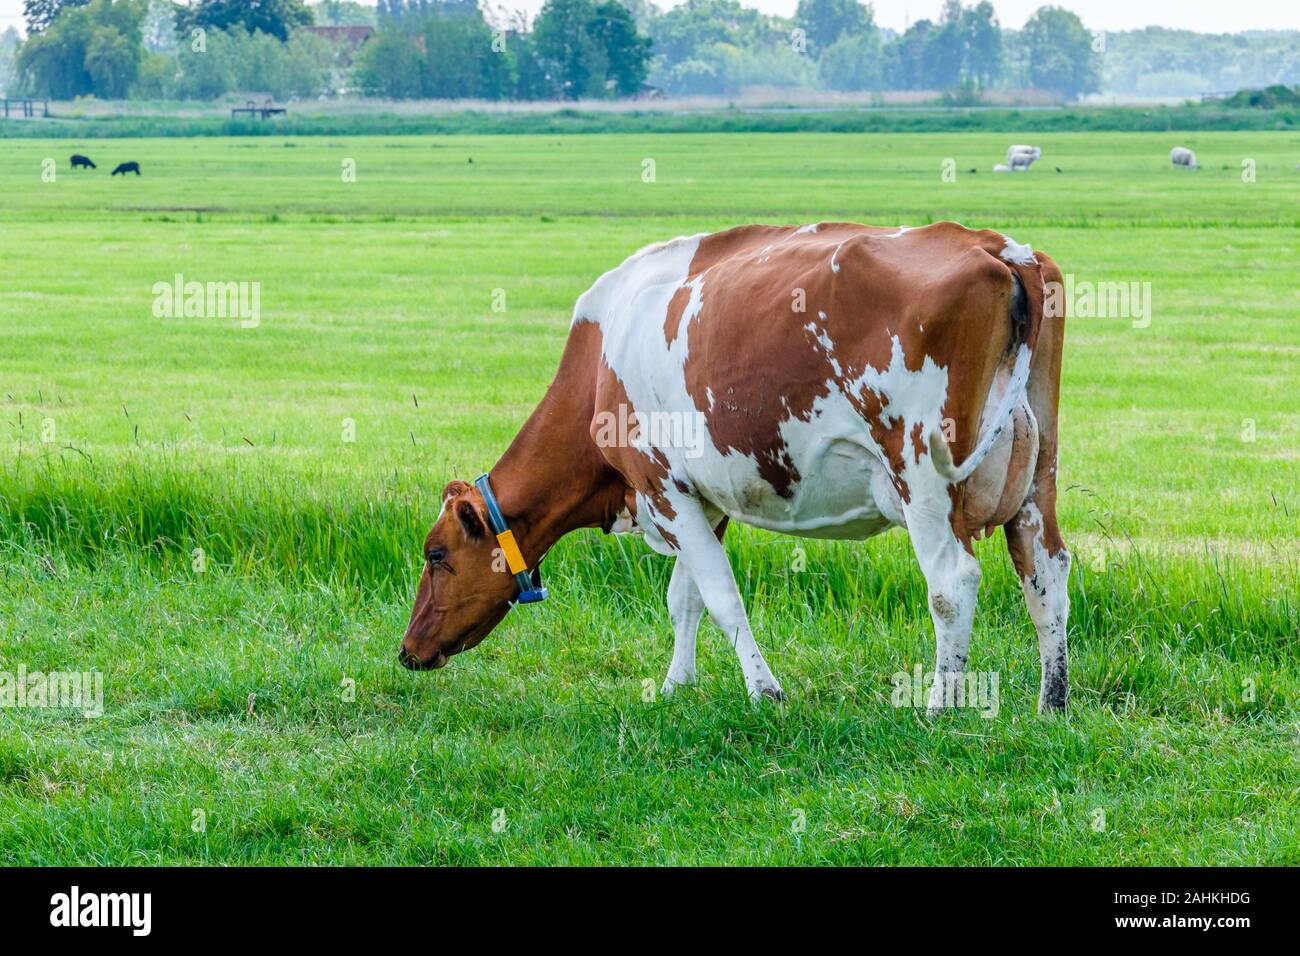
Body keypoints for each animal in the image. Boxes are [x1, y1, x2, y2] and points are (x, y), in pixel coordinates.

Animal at [400, 221, 1071, 715]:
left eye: (436, 555)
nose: (407, 651)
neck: (598, 363)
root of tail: (997, 247)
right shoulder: (702, 497)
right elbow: (684, 597)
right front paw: (675, 685)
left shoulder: (661, 485)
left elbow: (721, 596)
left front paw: (765, 691)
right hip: (1039, 473)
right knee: (1046, 570)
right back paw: (1052, 703)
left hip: (921, 474)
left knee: (952, 583)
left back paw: (939, 706)